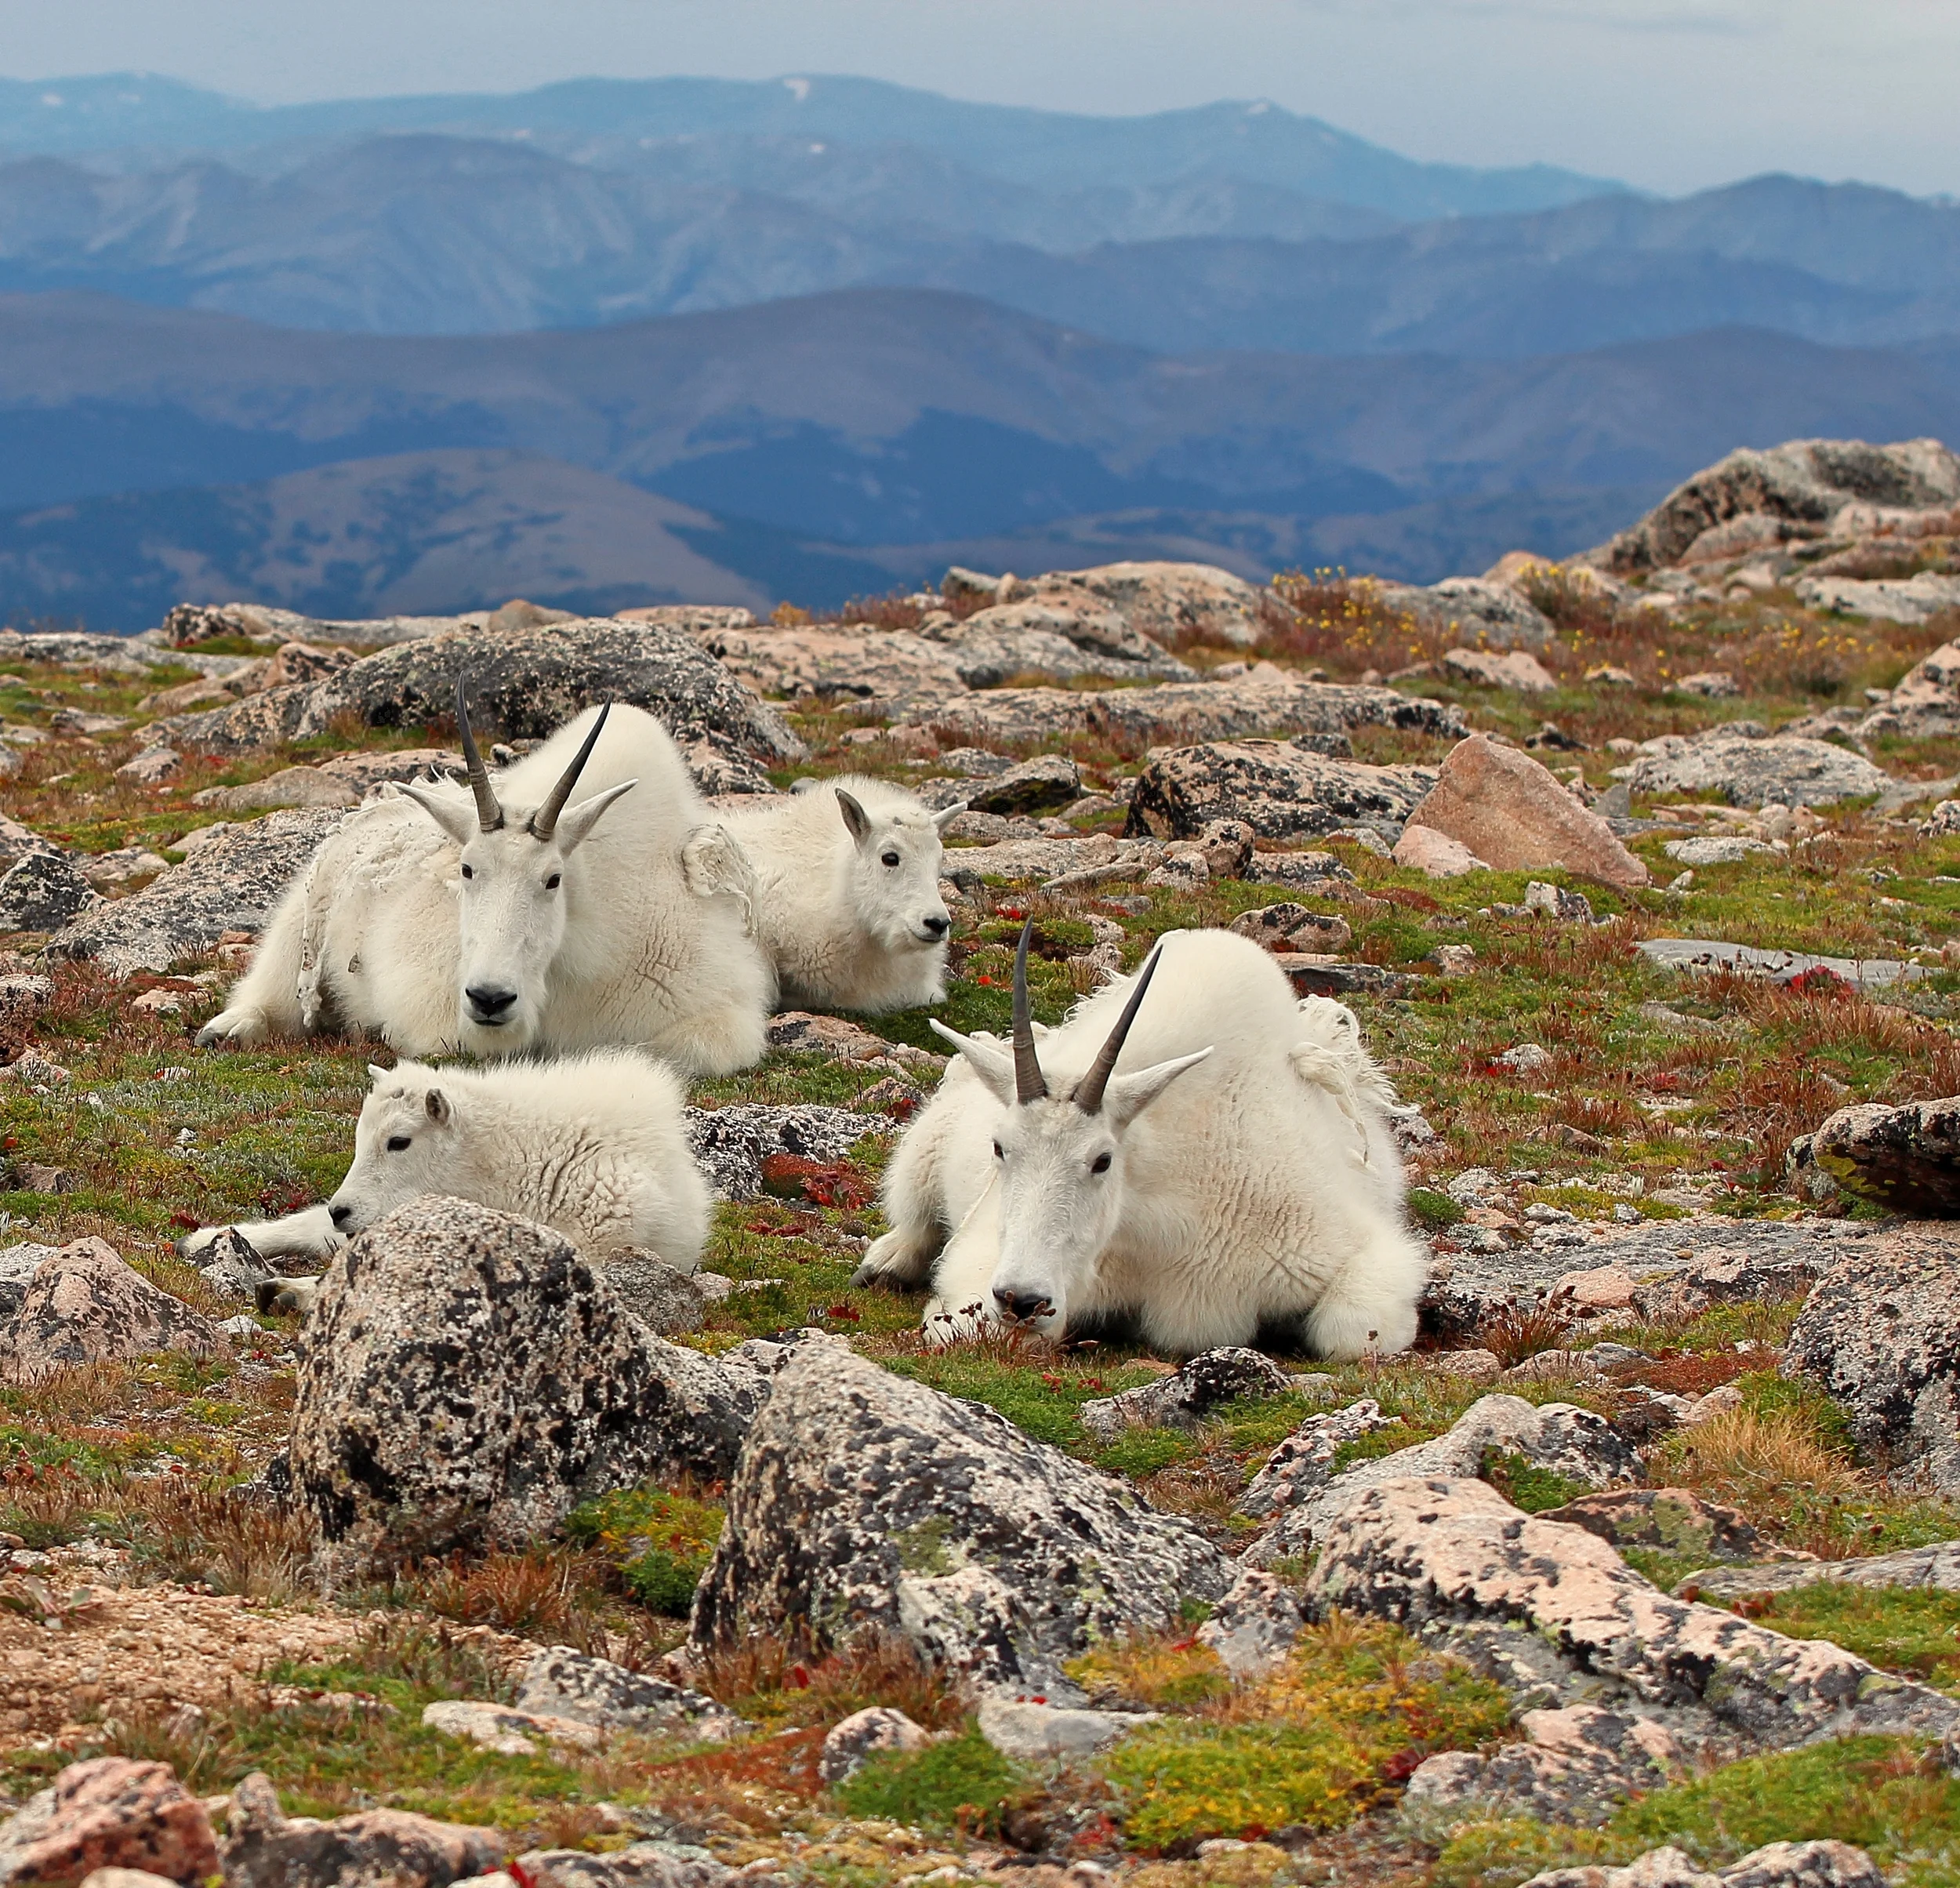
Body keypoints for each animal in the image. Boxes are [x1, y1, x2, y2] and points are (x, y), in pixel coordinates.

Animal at [196, 687, 771, 1075]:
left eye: (553, 879)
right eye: (467, 869)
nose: (490, 998)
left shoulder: (714, 1010)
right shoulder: (434, 1009)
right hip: (297, 934)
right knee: (268, 994)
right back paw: (228, 1031)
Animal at [852, 924, 1425, 1359]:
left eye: (1103, 1160)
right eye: (999, 1148)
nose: (1022, 1300)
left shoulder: (1354, 1248)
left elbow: (1350, 1334)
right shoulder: (985, 1255)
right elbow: (967, 1322)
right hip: (924, 1154)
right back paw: (885, 1262)